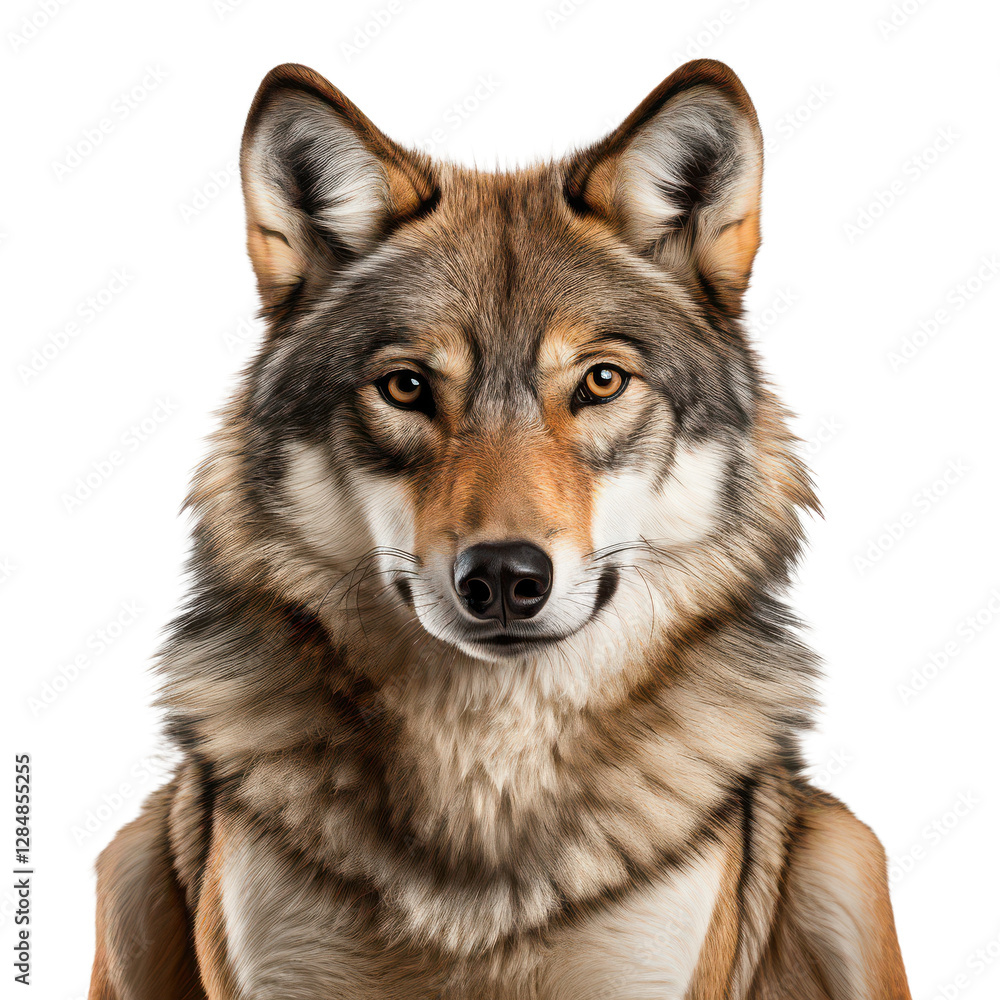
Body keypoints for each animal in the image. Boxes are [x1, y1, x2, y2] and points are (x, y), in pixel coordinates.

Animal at [88, 59, 911, 998]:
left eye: (601, 381)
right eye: (406, 386)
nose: (506, 578)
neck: (486, 771)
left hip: (849, 856)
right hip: (125, 865)